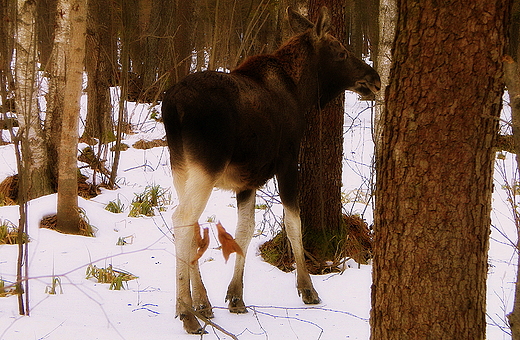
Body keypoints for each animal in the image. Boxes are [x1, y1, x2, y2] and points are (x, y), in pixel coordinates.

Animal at [160, 6, 380, 334]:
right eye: (341, 52)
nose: (374, 79)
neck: (302, 92)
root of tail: (171, 107)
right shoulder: (288, 161)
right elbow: (294, 223)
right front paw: (308, 289)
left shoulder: (247, 180)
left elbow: (244, 230)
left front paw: (236, 297)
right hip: (206, 166)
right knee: (182, 218)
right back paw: (186, 312)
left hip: (182, 166)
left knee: (192, 224)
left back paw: (201, 302)